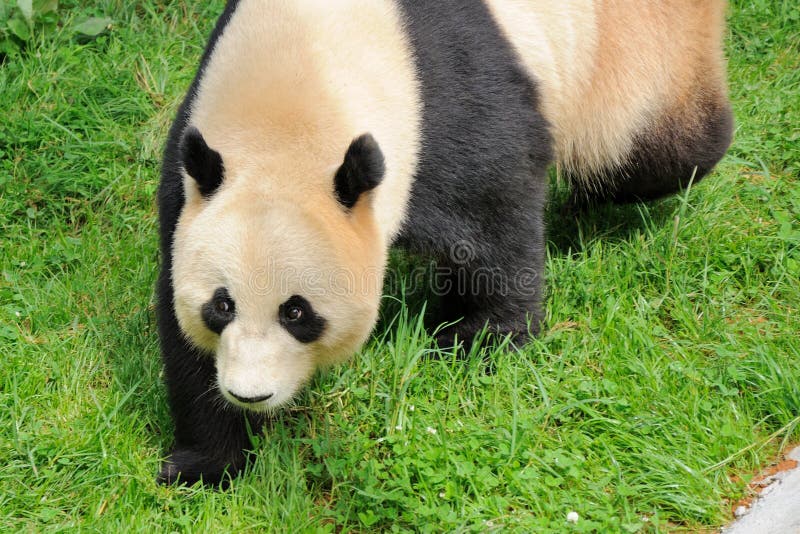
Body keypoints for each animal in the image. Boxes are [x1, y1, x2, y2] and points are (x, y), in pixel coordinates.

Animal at [157, 0, 732, 484]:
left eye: (297, 312)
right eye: (222, 306)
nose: (250, 393)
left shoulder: (452, 104)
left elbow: (496, 221)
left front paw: (477, 341)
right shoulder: (191, 173)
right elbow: (178, 321)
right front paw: (206, 463)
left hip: (632, 53)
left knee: (653, 148)